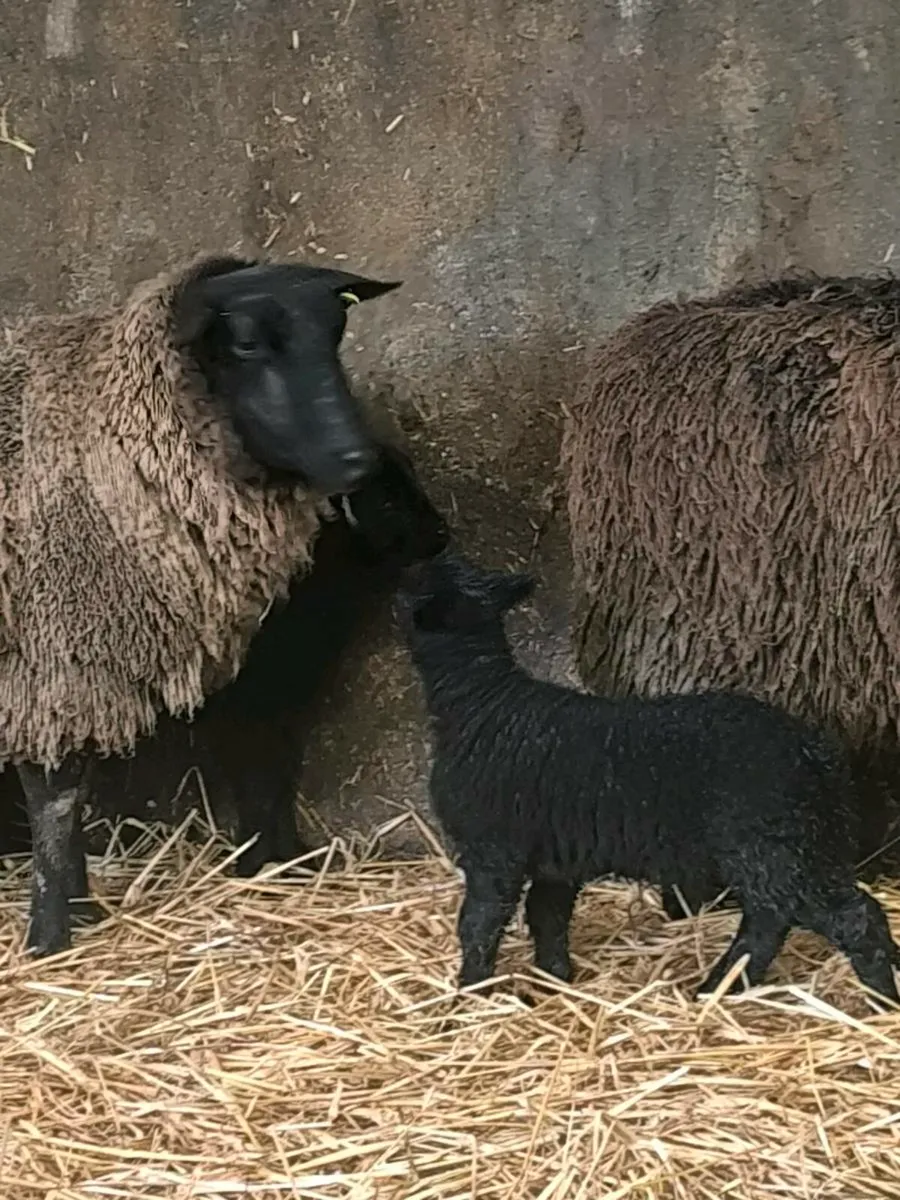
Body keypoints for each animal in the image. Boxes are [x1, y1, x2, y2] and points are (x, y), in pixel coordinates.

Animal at [0, 252, 400, 955]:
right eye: (245, 344)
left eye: (336, 332)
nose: (358, 461)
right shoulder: (52, 659)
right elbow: (56, 800)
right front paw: (51, 936)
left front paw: (81, 912)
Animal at [394, 551, 900, 1004]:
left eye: (419, 580)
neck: (482, 701)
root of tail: (815, 752)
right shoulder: (556, 859)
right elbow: (548, 918)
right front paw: (555, 981)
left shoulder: (492, 851)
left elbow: (479, 924)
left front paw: (468, 994)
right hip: (806, 843)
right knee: (798, 916)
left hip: (770, 844)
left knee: (825, 918)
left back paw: (867, 1000)